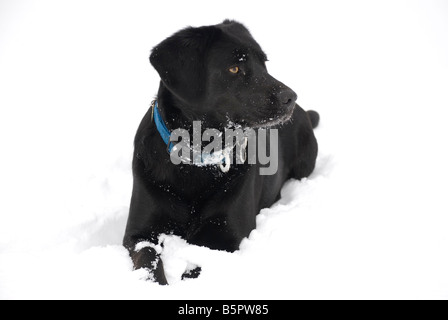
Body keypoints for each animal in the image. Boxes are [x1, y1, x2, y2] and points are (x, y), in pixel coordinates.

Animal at [122, 20, 318, 284]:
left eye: (264, 62)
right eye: (234, 68)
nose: (291, 97)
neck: (195, 161)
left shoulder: (226, 237)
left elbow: (197, 269)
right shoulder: (139, 233)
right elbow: (148, 261)